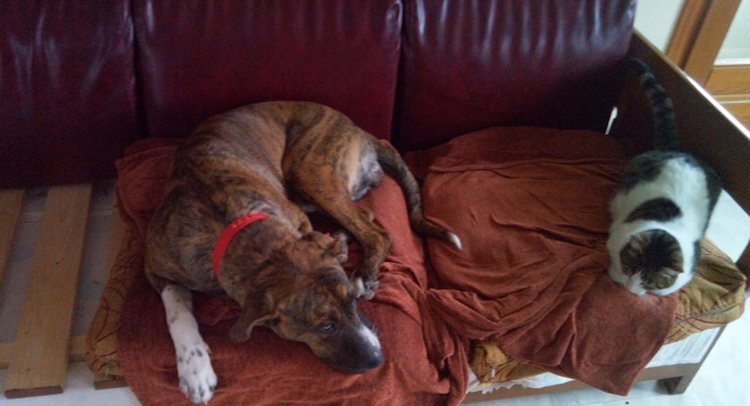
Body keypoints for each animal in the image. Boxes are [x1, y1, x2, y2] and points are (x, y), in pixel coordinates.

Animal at [144, 101, 461, 403]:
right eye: (326, 327)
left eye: (352, 302)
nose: (378, 359)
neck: (236, 224)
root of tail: (356, 127)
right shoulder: (154, 267)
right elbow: (177, 311)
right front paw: (194, 368)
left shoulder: (298, 221)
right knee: (369, 218)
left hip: (310, 172)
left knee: (375, 231)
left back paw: (363, 270)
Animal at [606, 58, 722, 296]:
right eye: (629, 268)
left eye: (650, 282)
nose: (630, 289)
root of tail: (676, 151)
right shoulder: (616, 238)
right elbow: (614, 263)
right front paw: (616, 275)